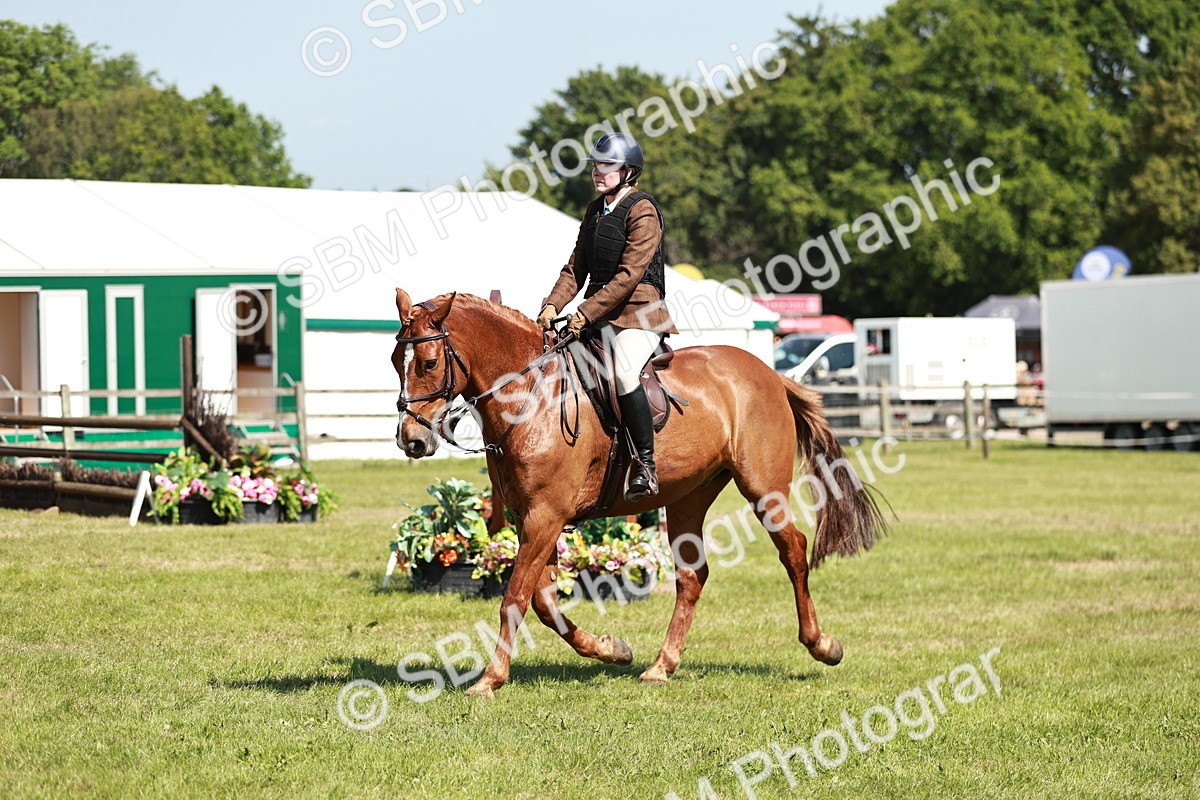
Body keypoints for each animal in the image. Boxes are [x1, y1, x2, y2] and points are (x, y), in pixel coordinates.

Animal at [391, 288, 885, 698]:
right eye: (397, 361)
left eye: (429, 364)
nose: (411, 440)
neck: (531, 396)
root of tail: (769, 373)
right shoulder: (530, 518)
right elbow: (544, 602)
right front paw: (611, 648)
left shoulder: (545, 516)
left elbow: (514, 598)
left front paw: (490, 680)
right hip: (687, 497)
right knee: (692, 576)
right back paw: (661, 666)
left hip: (763, 488)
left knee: (794, 551)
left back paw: (821, 644)